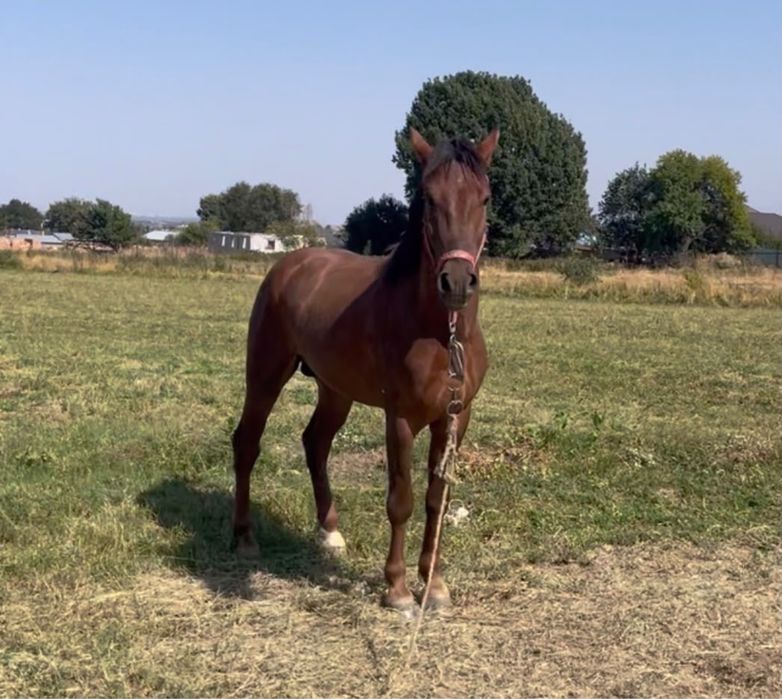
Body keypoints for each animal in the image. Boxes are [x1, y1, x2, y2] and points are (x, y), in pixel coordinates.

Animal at [231, 127, 499, 613]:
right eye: (428, 198)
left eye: (484, 197)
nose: (455, 282)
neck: (439, 333)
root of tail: (290, 263)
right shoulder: (401, 418)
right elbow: (401, 500)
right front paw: (397, 589)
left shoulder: (455, 418)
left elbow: (437, 500)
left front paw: (434, 584)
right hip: (265, 376)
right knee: (247, 443)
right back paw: (244, 538)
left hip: (335, 390)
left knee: (315, 443)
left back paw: (330, 532)